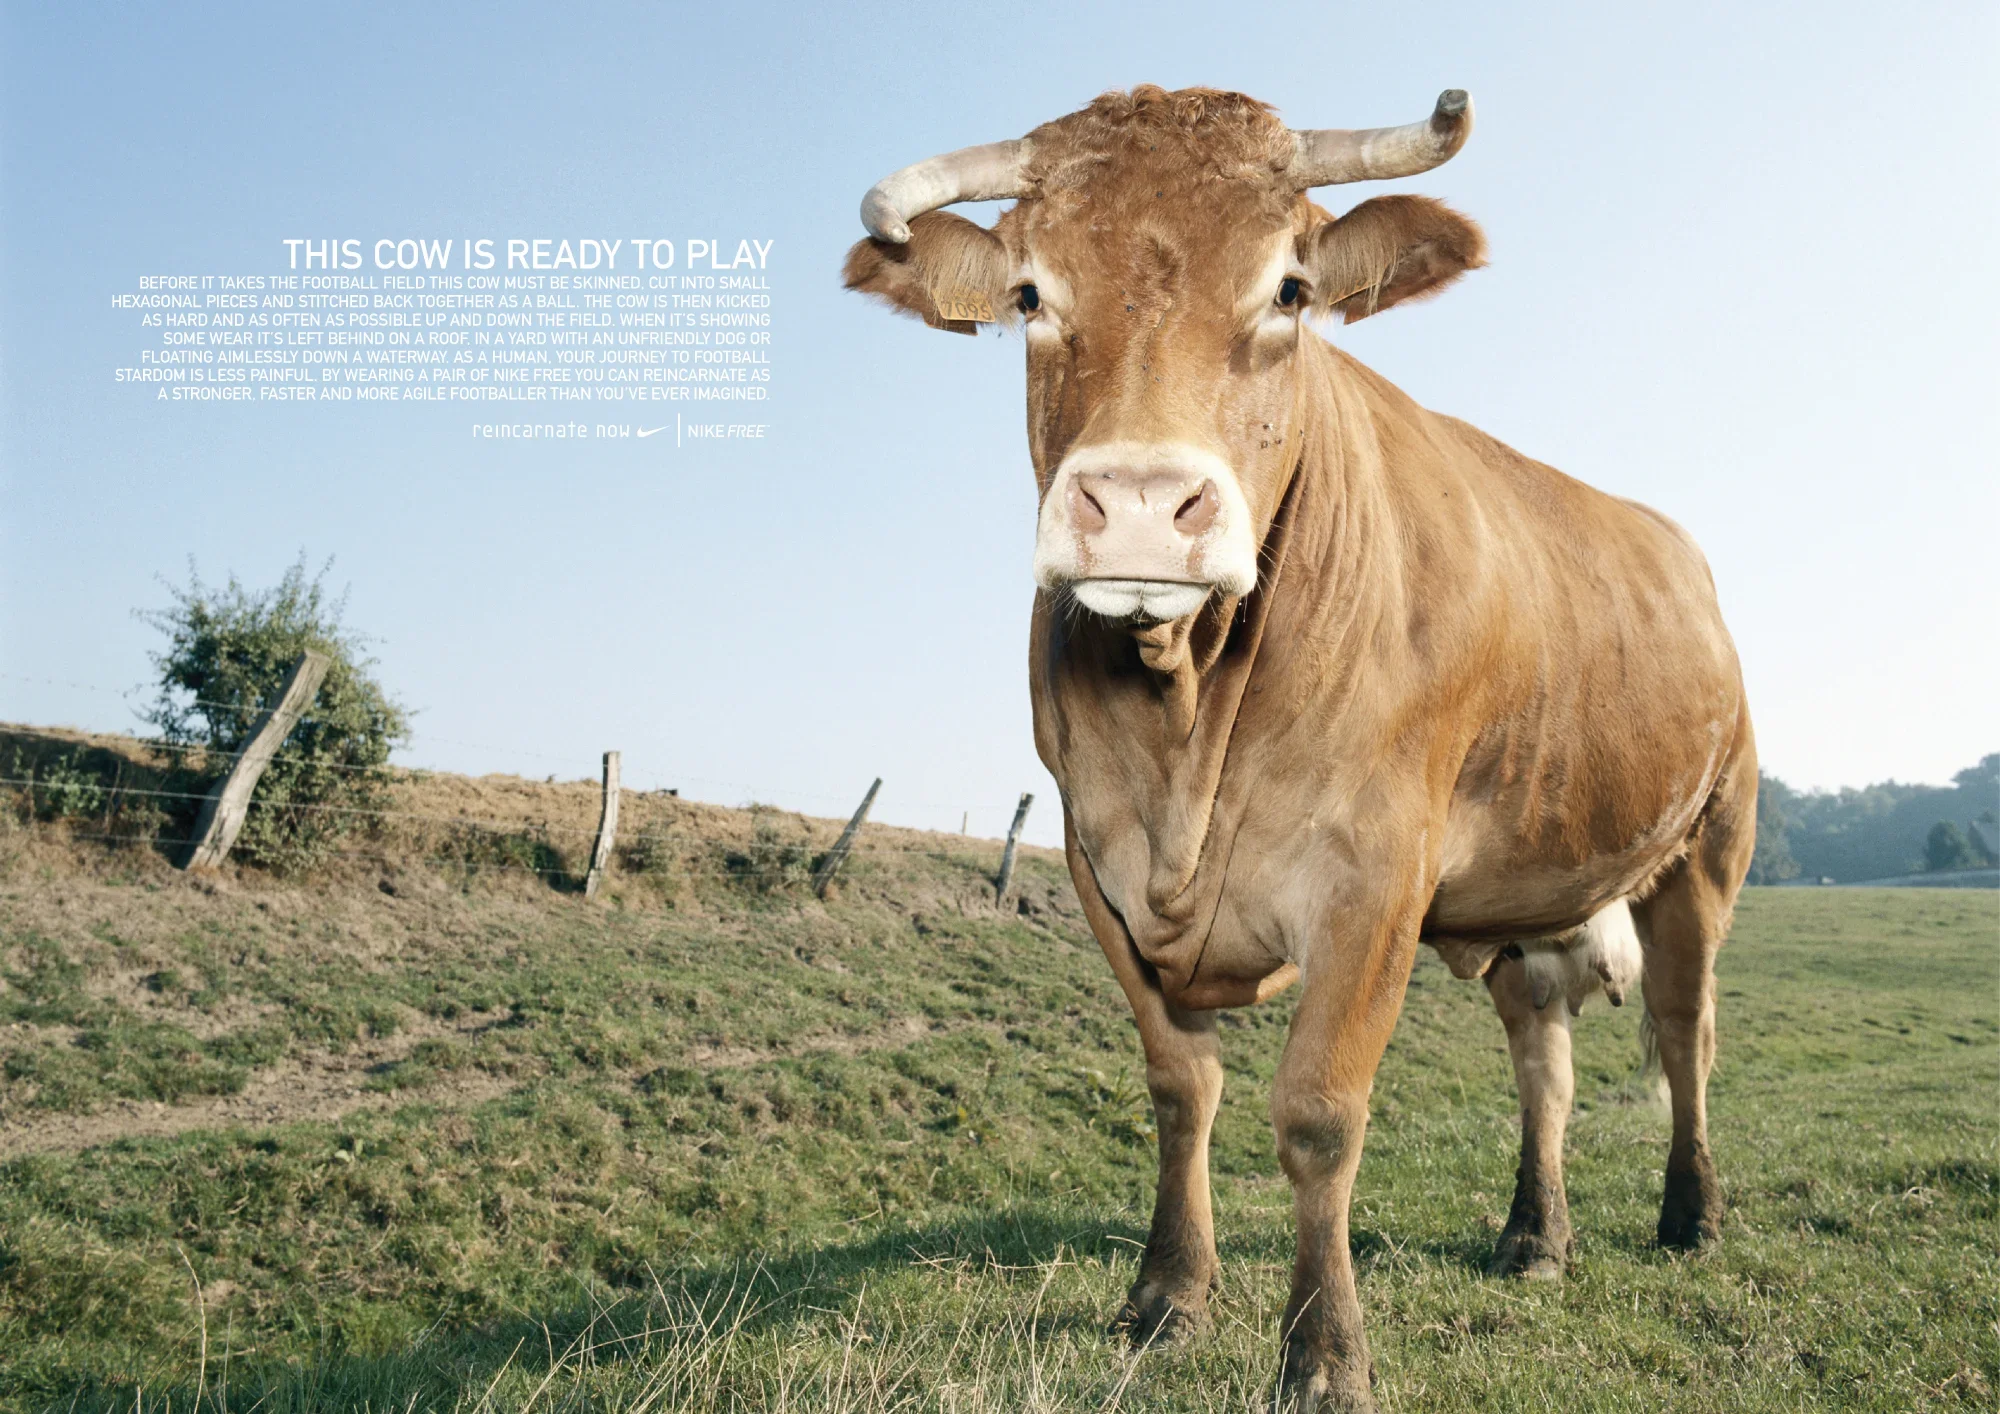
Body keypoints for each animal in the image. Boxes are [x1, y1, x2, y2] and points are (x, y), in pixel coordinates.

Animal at [843, 85, 1754, 1411]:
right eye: (1027, 293)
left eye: (1285, 289)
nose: (1137, 506)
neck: (1181, 721)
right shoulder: (1092, 863)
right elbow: (1181, 1088)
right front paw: (1167, 1296)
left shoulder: (1374, 878)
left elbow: (1318, 1111)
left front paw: (1323, 1352)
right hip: (1528, 893)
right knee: (1543, 1050)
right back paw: (1533, 1234)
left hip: (1705, 843)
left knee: (1683, 1030)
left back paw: (1689, 1213)